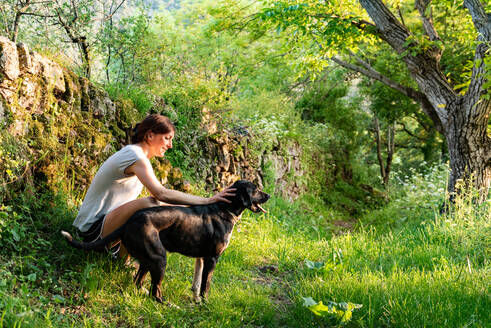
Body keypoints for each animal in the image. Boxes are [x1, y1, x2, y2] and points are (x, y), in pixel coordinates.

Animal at [62, 179, 270, 302]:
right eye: (256, 189)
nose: (268, 195)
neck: (224, 209)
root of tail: (132, 219)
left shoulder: (201, 259)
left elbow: (197, 283)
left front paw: (196, 301)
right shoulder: (212, 258)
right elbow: (206, 285)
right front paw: (205, 303)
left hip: (148, 260)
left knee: (138, 282)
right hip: (159, 259)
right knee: (155, 291)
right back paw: (165, 304)